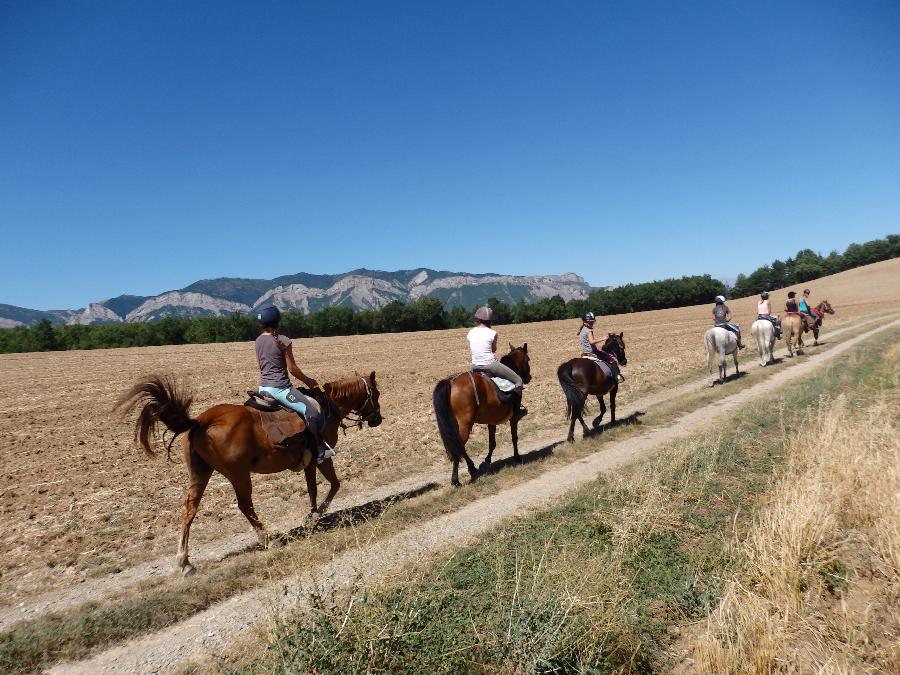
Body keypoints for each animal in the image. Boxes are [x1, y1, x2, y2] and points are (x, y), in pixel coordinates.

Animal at [115, 372, 380, 580]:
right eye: (376, 394)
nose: (378, 419)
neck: (327, 407)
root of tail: (201, 420)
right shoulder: (322, 457)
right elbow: (334, 484)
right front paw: (316, 515)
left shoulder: (310, 462)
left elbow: (312, 488)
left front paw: (311, 516)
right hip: (239, 474)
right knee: (245, 505)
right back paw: (268, 540)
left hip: (201, 472)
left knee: (189, 509)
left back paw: (185, 563)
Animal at [432, 348, 532, 486]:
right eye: (528, 359)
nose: (529, 377)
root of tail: (452, 381)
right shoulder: (514, 418)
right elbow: (514, 437)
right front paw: (517, 457)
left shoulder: (492, 421)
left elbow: (492, 442)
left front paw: (487, 460)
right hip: (466, 423)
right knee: (459, 446)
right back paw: (456, 480)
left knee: (459, 445)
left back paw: (472, 468)